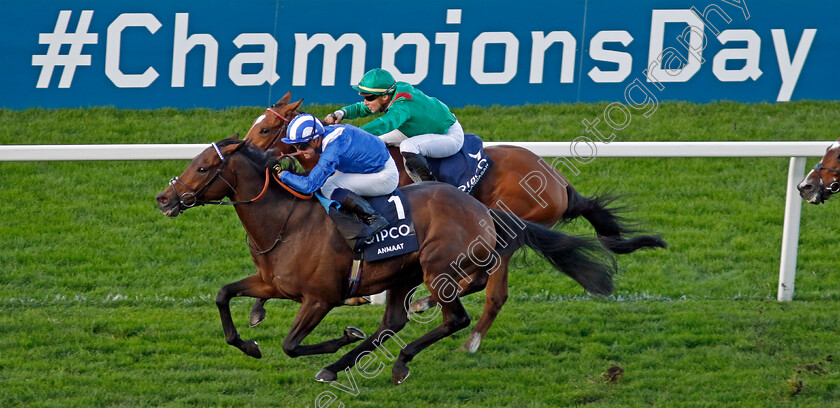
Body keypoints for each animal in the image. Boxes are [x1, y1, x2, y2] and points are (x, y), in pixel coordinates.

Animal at [156, 136, 616, 382]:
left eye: (203, 168)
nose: (164, 198)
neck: (285, 221)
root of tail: (483, 210)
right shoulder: (273, 282)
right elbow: (223, 294)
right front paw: (249, 343)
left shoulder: (320, 298)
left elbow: (291, 345)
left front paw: (342, 336)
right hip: (404, 274)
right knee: (395, 321)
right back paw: (341, 365)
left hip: (438, 267)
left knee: (459, 313)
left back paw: (402, 360)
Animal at [244, 91, 668, 352]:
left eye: (265, 129)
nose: (243, 149)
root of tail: (560, 183)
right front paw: (258, 308)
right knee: (479, 284)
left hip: (503, 232)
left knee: (491, 291)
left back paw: (458, 326)